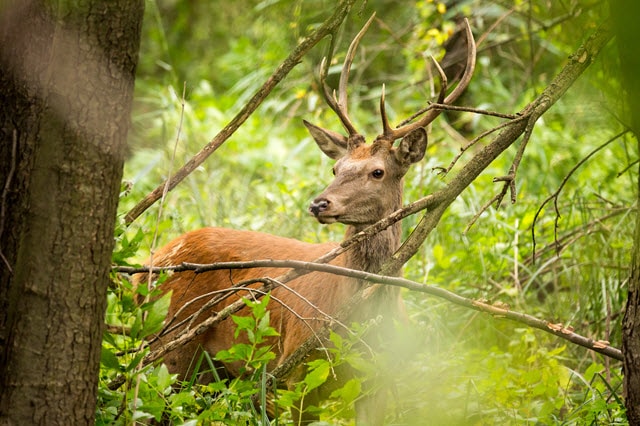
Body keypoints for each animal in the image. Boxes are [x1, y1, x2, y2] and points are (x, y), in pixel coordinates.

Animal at [136, 14, 476, 426]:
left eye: (377, 172)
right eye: (336, 167)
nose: (319, 204)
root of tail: (152, 260)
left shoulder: (378, 382)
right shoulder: (292, 373)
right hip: (169, 342)